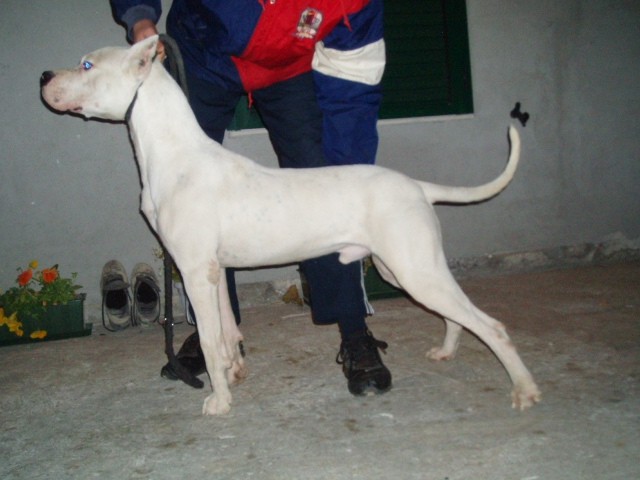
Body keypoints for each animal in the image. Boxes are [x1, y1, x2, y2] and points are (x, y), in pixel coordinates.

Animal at [40, 36, 540, 416]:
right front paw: (234, 376)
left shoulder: (195, 272)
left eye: (86, 64)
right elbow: (226, 335)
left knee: (490, 325)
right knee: (456, 315)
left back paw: (524, 390)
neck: (173, 152)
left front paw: (219, 404)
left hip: (414, 270)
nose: (43, 76)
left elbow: (210, 338)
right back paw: (447, 351)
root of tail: (416, 185)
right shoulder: (215, 272)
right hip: (405, 269)